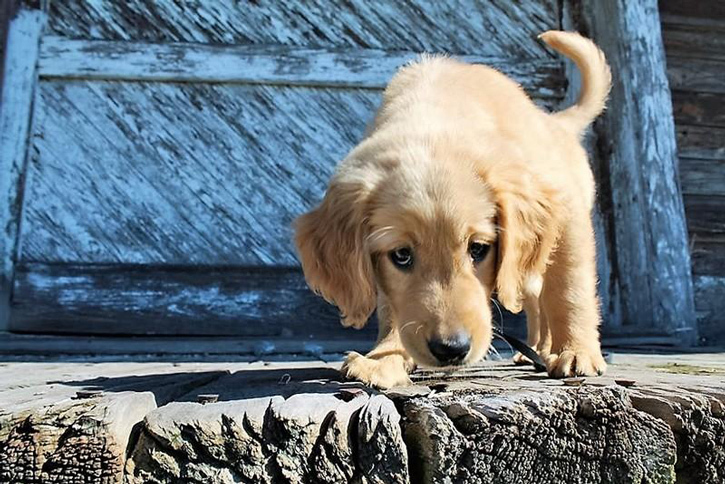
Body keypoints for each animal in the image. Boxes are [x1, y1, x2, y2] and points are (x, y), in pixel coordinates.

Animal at [295, 31, 610, 388]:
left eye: (478, 249)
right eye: (401, 255)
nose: (451, 349)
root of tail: (555, 123)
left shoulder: (566, 210)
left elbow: (570, 288)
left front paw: (577, 352)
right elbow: (393, 307)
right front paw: (384, 359)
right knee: (531, 295)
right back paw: (534, 348)